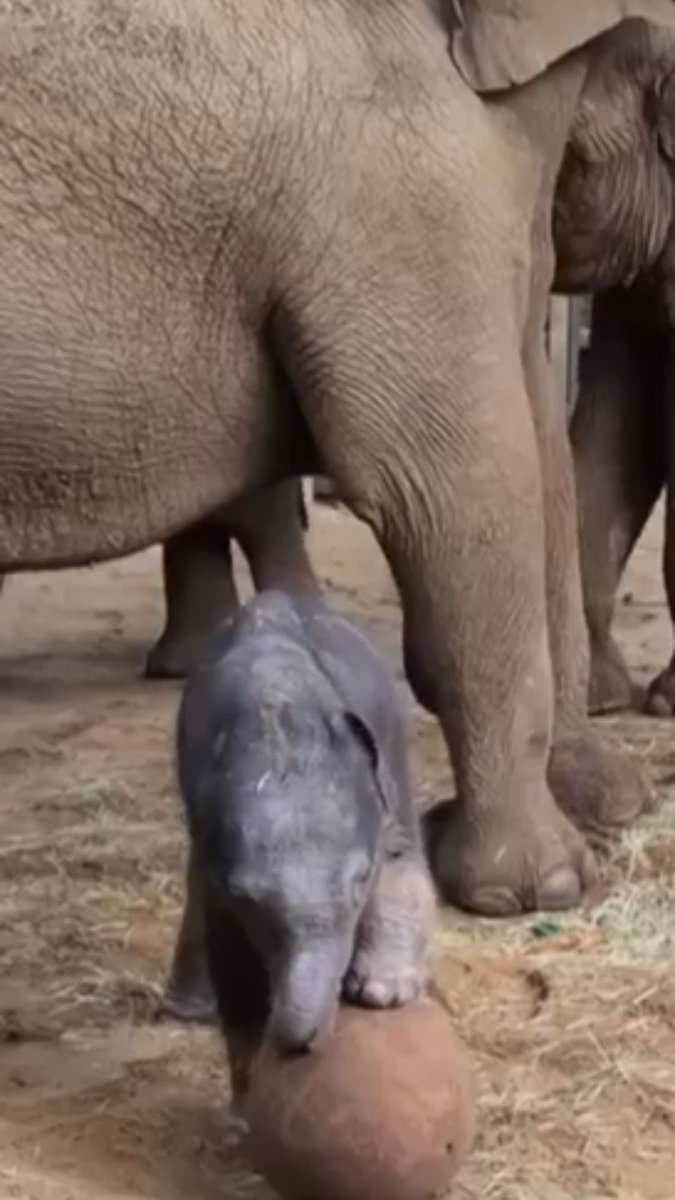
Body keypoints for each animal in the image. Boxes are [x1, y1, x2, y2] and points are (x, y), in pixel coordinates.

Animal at [3, 0, 673, 925]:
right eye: (662, 89)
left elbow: (540, 451)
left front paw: (599, 804)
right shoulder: (388, 188)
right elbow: (455, 488)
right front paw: (540, 887)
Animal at [167, 590, 434, 1080]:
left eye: (360, 881)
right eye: (247, 899)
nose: (302, 1043)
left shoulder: (381, 766)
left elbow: (400, 856)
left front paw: (382, 993)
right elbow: (227, 947)